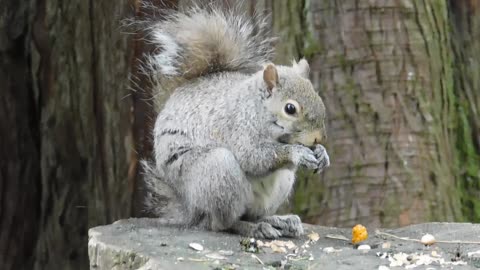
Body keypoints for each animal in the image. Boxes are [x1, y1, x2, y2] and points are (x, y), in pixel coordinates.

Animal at [141, 3, 332, 237]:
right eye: (290, 109)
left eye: (318, 98)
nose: (317, 138)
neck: (256, 108)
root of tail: (190, 209)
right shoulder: (238, 127)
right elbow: (252, 157)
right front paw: (297, 153)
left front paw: (322, 154)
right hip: (217, 171)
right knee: (223, 223)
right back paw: (253, 227)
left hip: (279, 185)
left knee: (252, 213)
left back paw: (279, 221)